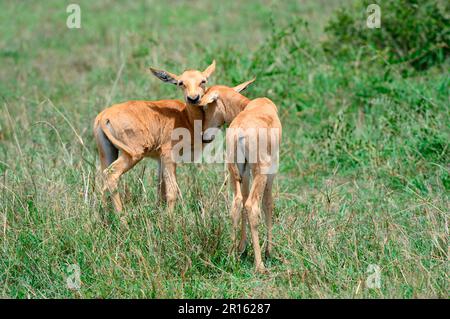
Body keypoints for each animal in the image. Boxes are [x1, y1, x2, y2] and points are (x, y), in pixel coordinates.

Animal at [93, 61, 216, 219]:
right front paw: (169, 219)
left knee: (103, 180)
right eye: (181, 83)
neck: (184, 115)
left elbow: (161, 190)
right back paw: (122, 219)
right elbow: (171, 191)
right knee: (111, 175)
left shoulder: (160, 159)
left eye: (203, 81)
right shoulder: (168, 155)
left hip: (107, 152)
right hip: (133, 154)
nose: (193, 98)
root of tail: (104, 116)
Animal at [197, 81, 282, 274]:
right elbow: (268, 204)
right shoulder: (271, 170)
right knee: (252, 205)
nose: (204, 136)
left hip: (236, 170)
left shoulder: (244, 171)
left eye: (206, 106)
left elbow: (242, 200)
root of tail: (239, 132)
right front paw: (269, 252)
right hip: (260, 170)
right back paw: (260, 265)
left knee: (237, 202)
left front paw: (242, 248)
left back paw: (231, 257)